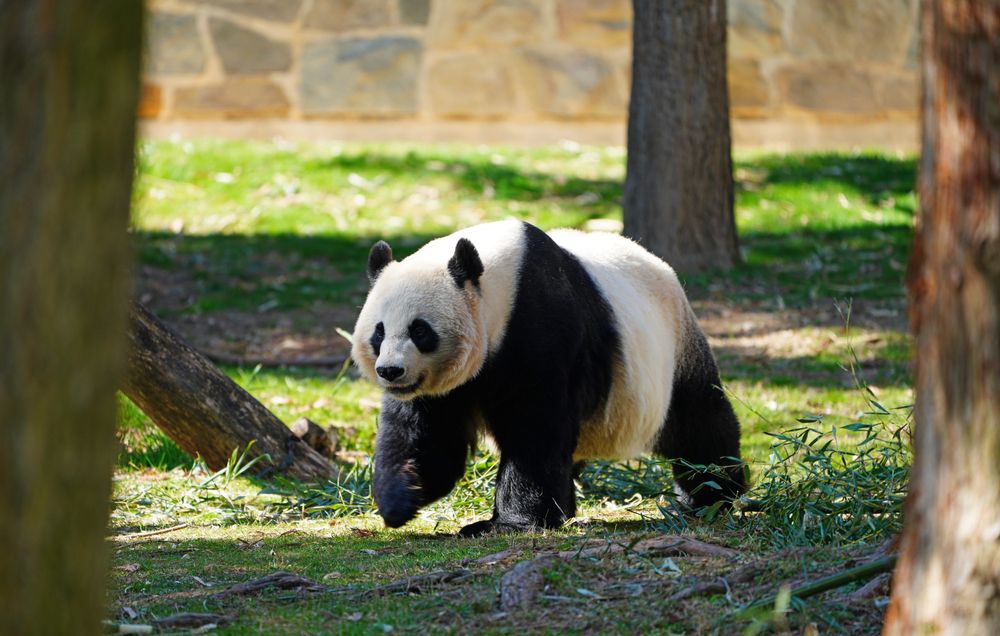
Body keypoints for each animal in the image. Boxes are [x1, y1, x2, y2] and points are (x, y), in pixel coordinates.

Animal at [351, 220, 745, 536]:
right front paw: (400, 498)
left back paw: (712, 494)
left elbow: (535, 425)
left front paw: (508, 524)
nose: (390, 371)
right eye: (379, 332)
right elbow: (426, 434)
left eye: (420, 331)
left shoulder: (539, 324)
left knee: (698, 420)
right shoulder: (440, 385)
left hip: (673, 348)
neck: (497, 283)